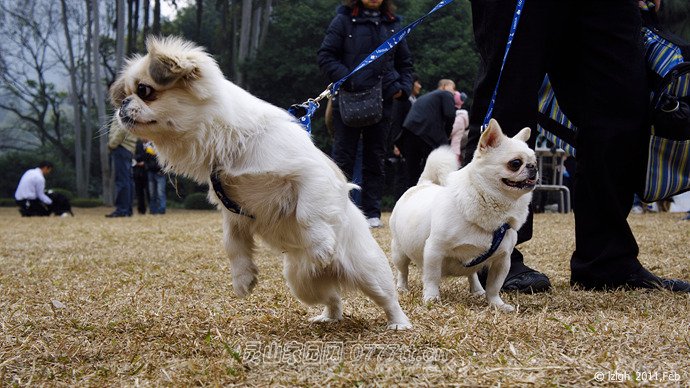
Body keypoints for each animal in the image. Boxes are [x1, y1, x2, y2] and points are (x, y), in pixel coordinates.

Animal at [107, 37, 408, 330]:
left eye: (144, 90)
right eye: (125, 94)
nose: (122, 105)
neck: (233, 143)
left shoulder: (311, 175)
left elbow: (308, 214)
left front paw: (322, 246)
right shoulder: (233, 212)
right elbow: (232, 245)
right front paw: (243, 279)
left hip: (368, 272)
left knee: (387, 298)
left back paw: (398, 324)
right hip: (301, 284)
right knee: (334, 299)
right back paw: (327, 318)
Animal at [390, 119, 536, 312]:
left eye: (535, 161)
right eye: (515, 163)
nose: (533, 167)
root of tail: (423, 184)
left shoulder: (502, 260)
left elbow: (494, 286)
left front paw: (497, 304)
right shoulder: (434, 250)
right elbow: (432, 278)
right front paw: (431, 299)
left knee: (472, 274)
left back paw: (477, 290)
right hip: (399, 251)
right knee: (403, 271)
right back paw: (402, 288)